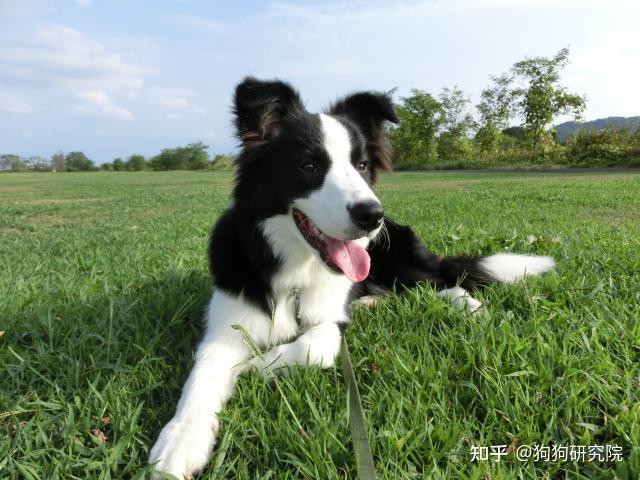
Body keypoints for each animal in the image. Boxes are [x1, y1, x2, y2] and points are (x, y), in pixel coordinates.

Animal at [148, 78, 552, 476]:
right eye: (309, 165)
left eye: (360, 165)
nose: (371, 215)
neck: (295, 271)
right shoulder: (225, 327)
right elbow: (202, 376)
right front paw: (180, 440)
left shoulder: (331, 320)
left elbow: (314, 345)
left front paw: (253, 366)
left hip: (396, 260)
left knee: (438, 280)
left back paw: (467, 304)